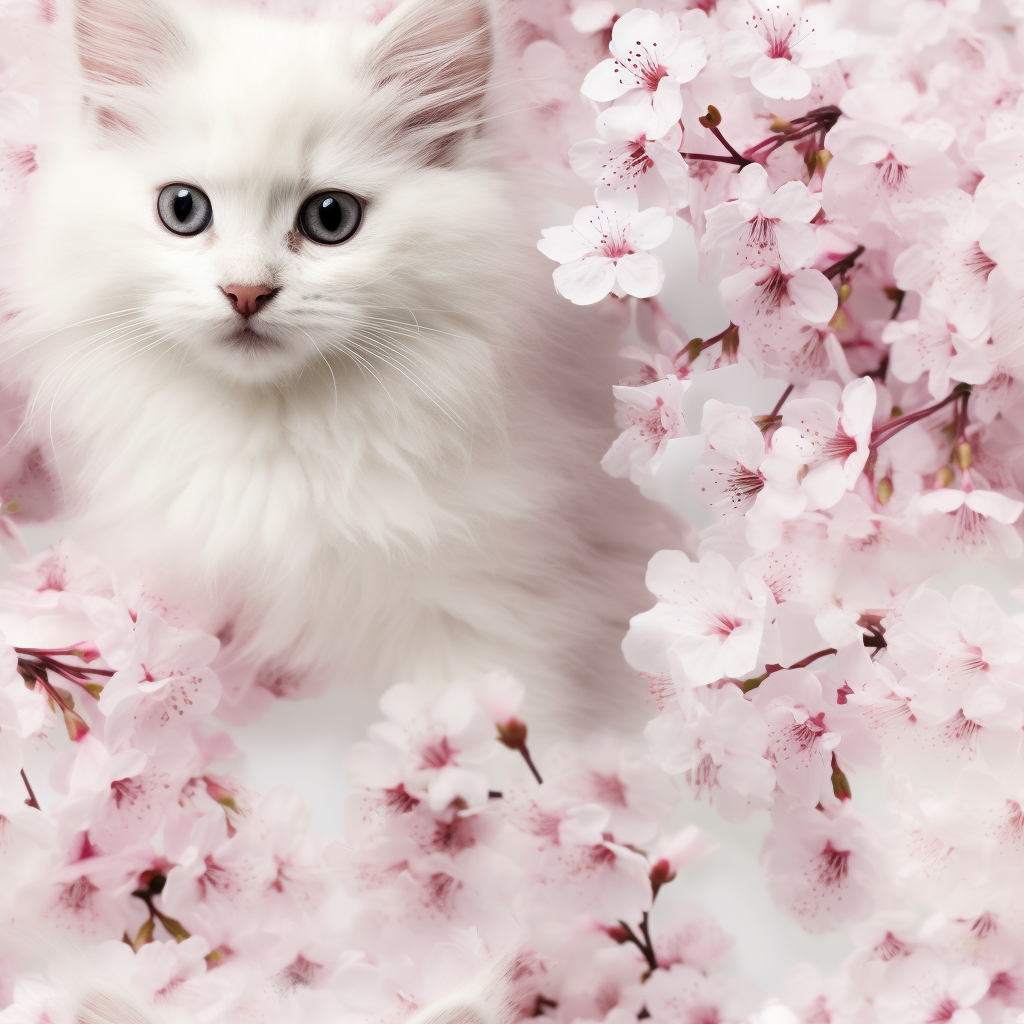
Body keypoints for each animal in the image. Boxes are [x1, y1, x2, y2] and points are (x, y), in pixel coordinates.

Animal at [2, 0, 671, 724]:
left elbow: (492, 722)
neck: (274, 438)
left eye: (330, 217)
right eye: (182, 208)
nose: (245, 292)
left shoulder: (492, 605)